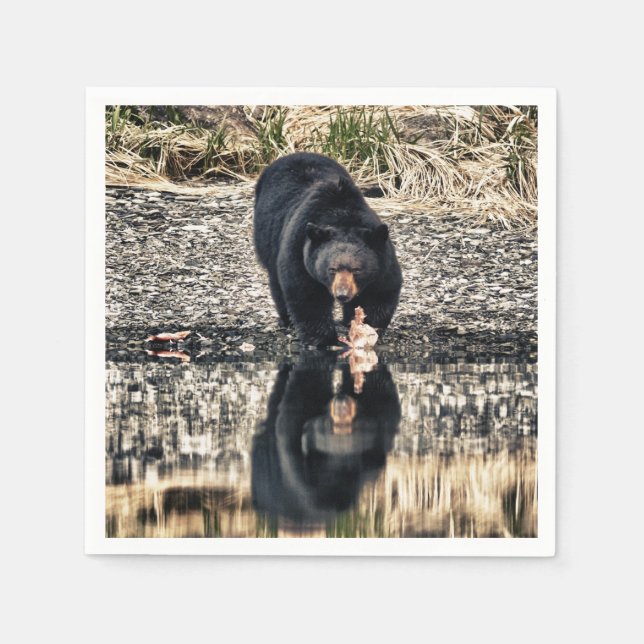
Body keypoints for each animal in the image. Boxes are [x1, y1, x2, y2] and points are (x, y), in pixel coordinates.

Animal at [253, 152, 402, 347]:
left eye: (357, 269)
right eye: (331, 269)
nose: (342, 294)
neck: (342, 215)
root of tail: (296, 153)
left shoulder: (382, 257)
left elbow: (379, 292)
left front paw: (366, 330)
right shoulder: (300, 249)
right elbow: (307, 296)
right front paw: (325, 339)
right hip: (267, 237)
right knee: (276, 279)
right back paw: (286, 319)